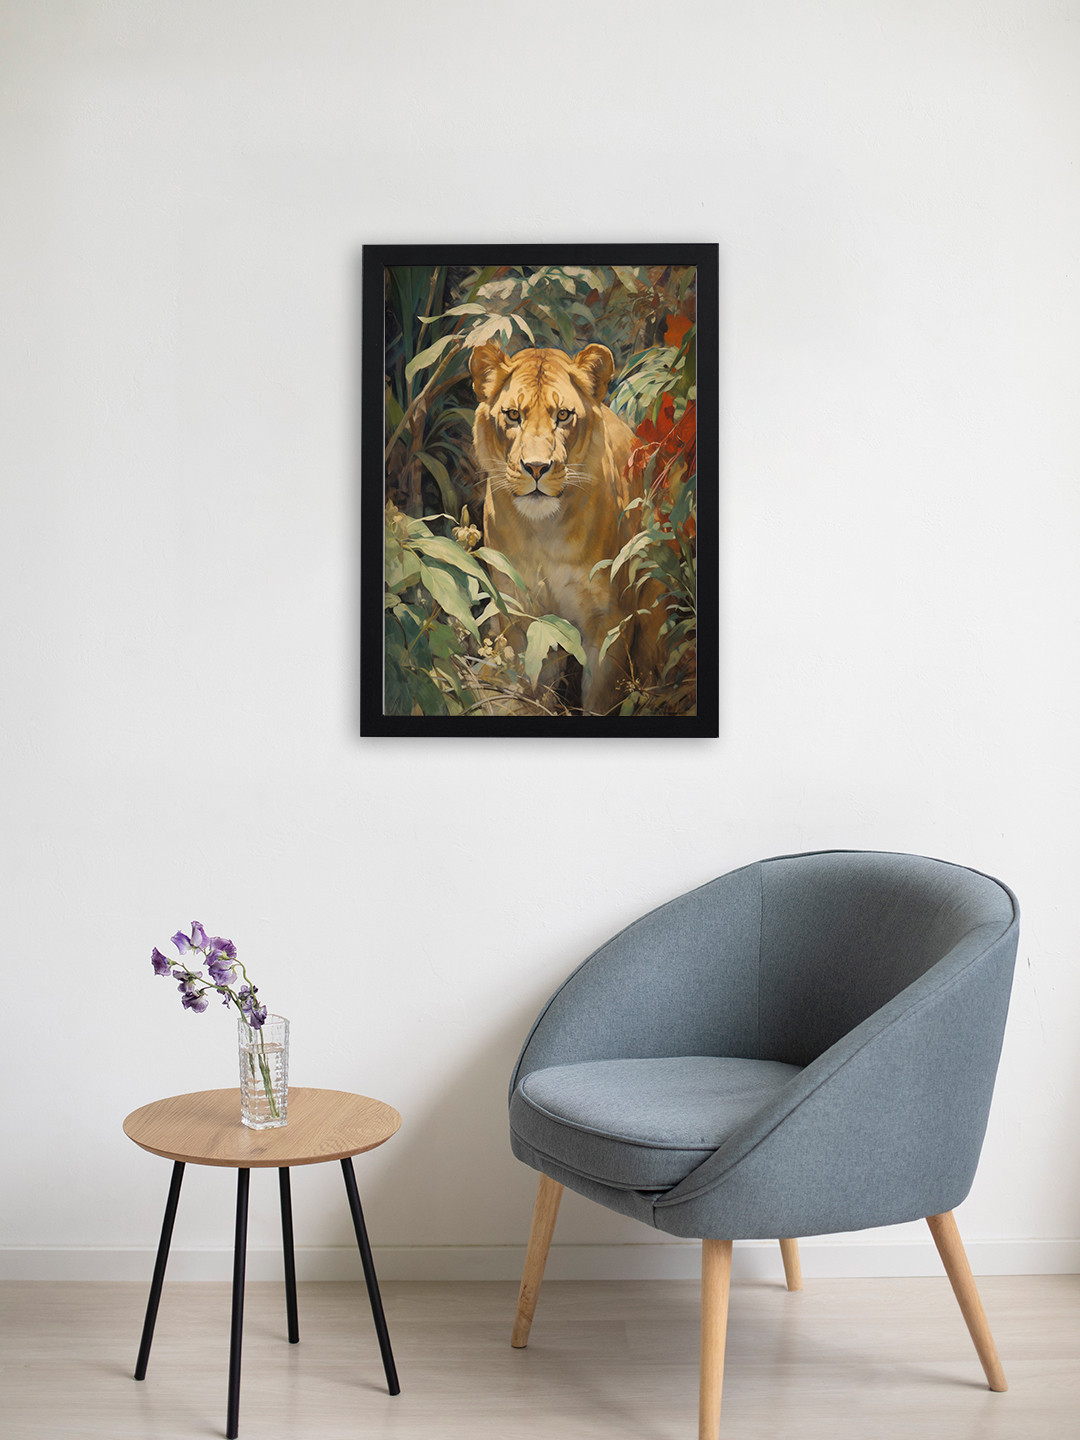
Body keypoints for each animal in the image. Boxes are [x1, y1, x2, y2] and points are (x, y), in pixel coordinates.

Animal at [469, 342, 664, 715]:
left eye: (562, 415)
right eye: (512, 415)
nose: (535, 467)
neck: (543, 532)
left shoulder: (608, 622)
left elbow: (599, 700)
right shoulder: (523, 618)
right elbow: (531, 690)